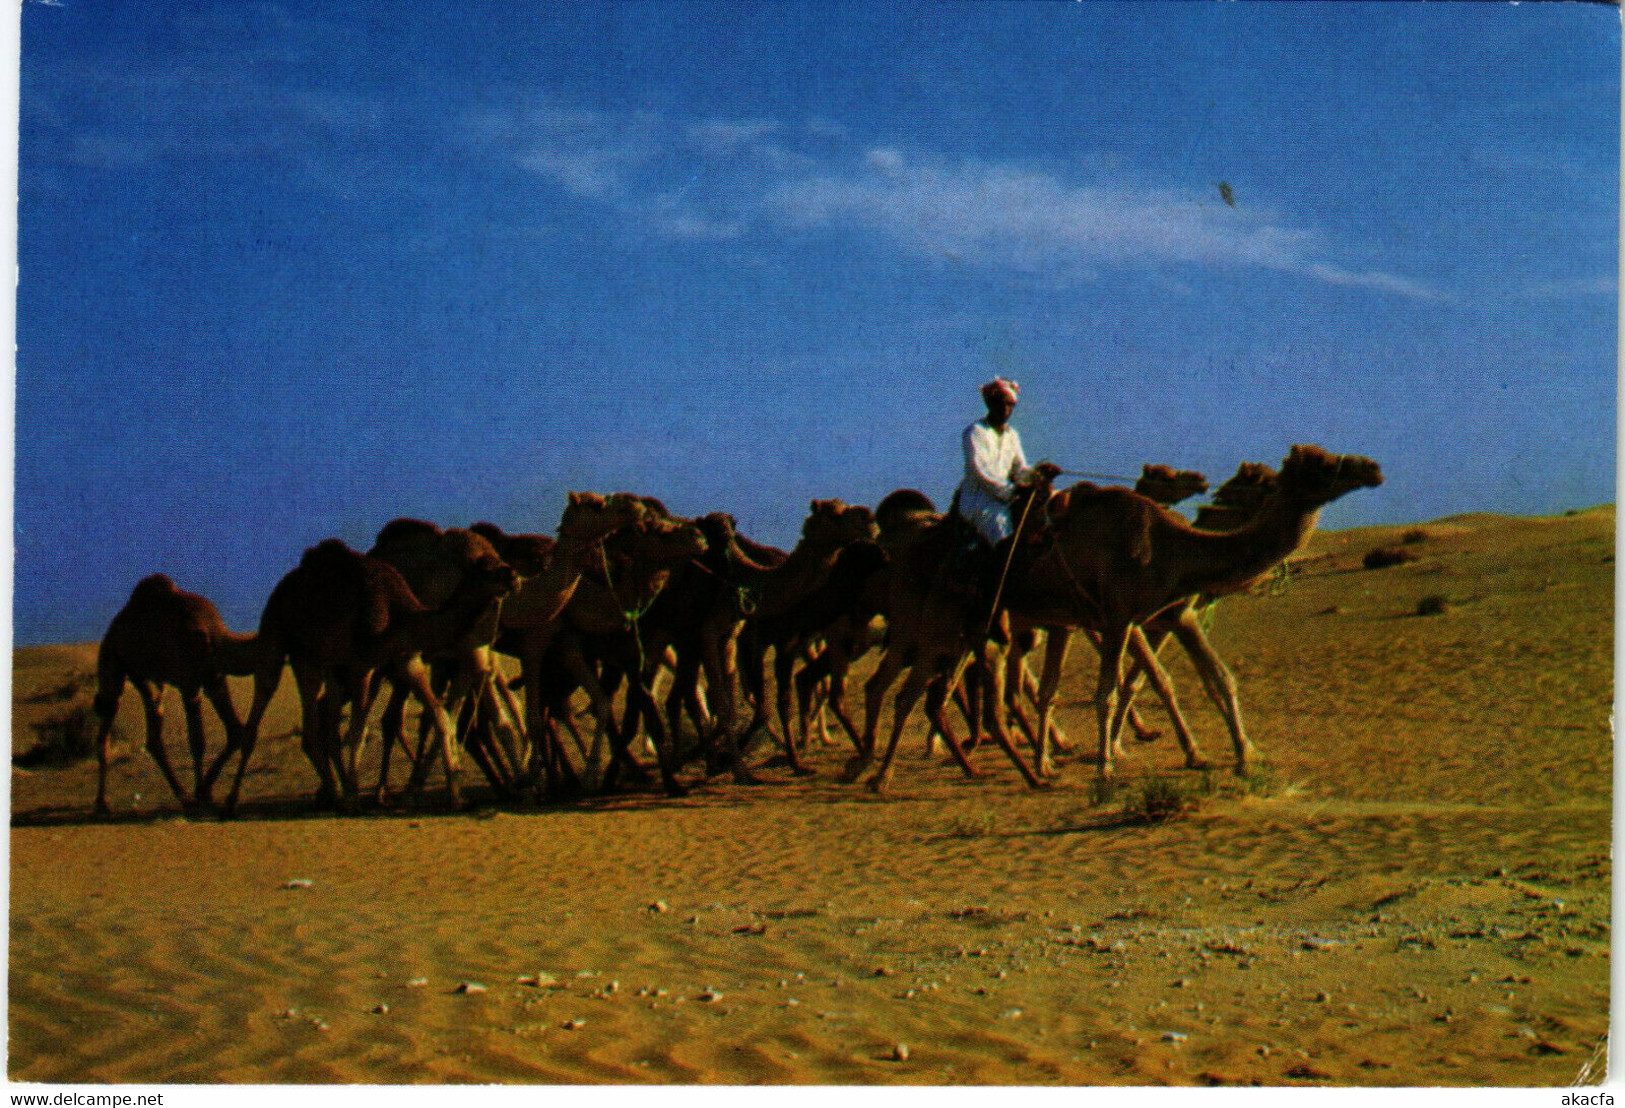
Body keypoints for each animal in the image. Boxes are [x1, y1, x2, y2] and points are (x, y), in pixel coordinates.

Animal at [91, 575, 264, 815]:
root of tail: (114, 627)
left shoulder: (215, 680)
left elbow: (235, 731)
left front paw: (206, 792)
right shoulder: (190, 685)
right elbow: (197, 741)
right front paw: (201, 794)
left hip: (146, 678)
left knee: (153, 729)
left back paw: (183, 796)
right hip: (112, 661)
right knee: (107, 718)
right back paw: (102, 803)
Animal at [229, 536, 516, 812]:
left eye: (501, 562)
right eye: (488, 570)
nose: (512, 575)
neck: (397, 613)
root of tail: (285, 583)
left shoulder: (406, 657)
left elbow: (440, 716)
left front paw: (457, 798)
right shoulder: (362, 663)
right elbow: (358, 732)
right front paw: (354, 799)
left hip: (312, 658)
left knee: (319, 726)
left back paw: (335, 794)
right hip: (275, 631)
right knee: (264, 698)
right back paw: (232, 803)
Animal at [1007, 445, 1378, 773]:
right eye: (1322, 464)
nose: (1373, 468)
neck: (1172, 551)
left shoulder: (1174, 618)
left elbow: (1211, 678)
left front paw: (1246, 753)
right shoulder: (1127, 618)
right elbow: (1149, 682)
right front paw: (1122, 756)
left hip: (1058, 620)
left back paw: (1044, 749)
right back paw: (1038, 752)